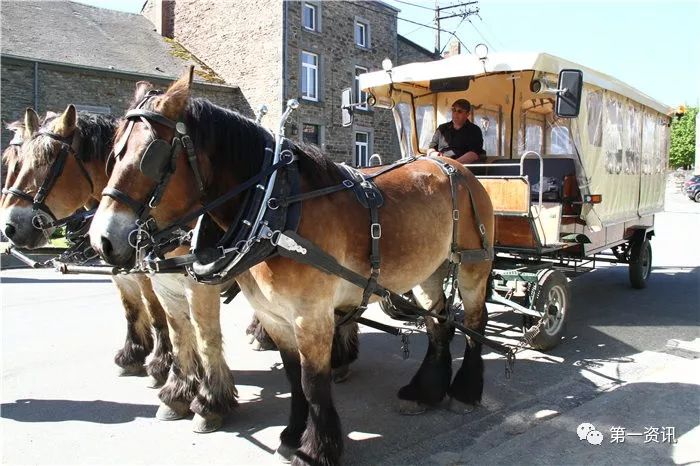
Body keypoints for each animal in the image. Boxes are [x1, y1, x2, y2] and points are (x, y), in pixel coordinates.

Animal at [0, 107, 173, 384]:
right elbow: (131, 308)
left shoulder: (151, 271)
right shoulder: (121, 271)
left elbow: (157, 311)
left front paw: (161, 363)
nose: (9, 227)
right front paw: (132, 354)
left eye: (48, 161)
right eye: (18, 161)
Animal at [90, 70, 494, 466]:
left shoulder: (310, 316)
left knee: (474, 322)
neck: (274, 210)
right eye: (113, 154)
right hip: (429, 271)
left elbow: (313, 383)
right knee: (439, 323)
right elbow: (292, 377)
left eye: (151, 156)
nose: (102, 239)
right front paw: (290, 437)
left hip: (473, 267)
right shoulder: (273, 316)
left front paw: (316, 449)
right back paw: (425, 391)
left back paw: (465, 391)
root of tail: (454, 166)